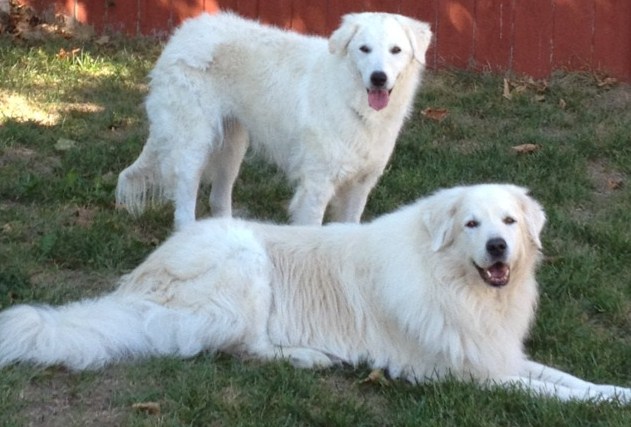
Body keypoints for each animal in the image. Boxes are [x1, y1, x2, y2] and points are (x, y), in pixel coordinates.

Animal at [1, 183, 630, 403]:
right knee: (240, 348)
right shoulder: (468, 375)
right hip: (245, 261)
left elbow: (569, 379)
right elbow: (549, 393)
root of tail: (138, 282)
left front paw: (615, 392)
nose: (498, 247)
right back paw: (309, 357)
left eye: (509, 222)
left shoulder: (496, 352)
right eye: (472, 225)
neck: (457, 288)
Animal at [115, 12, 432, 229]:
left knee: (218, 199)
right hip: (192, 146)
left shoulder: (360, 185)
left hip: (232, 148)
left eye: (395, 50)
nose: (378, 78)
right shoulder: (316, 185)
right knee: (184, 204)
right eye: (364, 49)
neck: (351, 98)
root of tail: (183, 33)